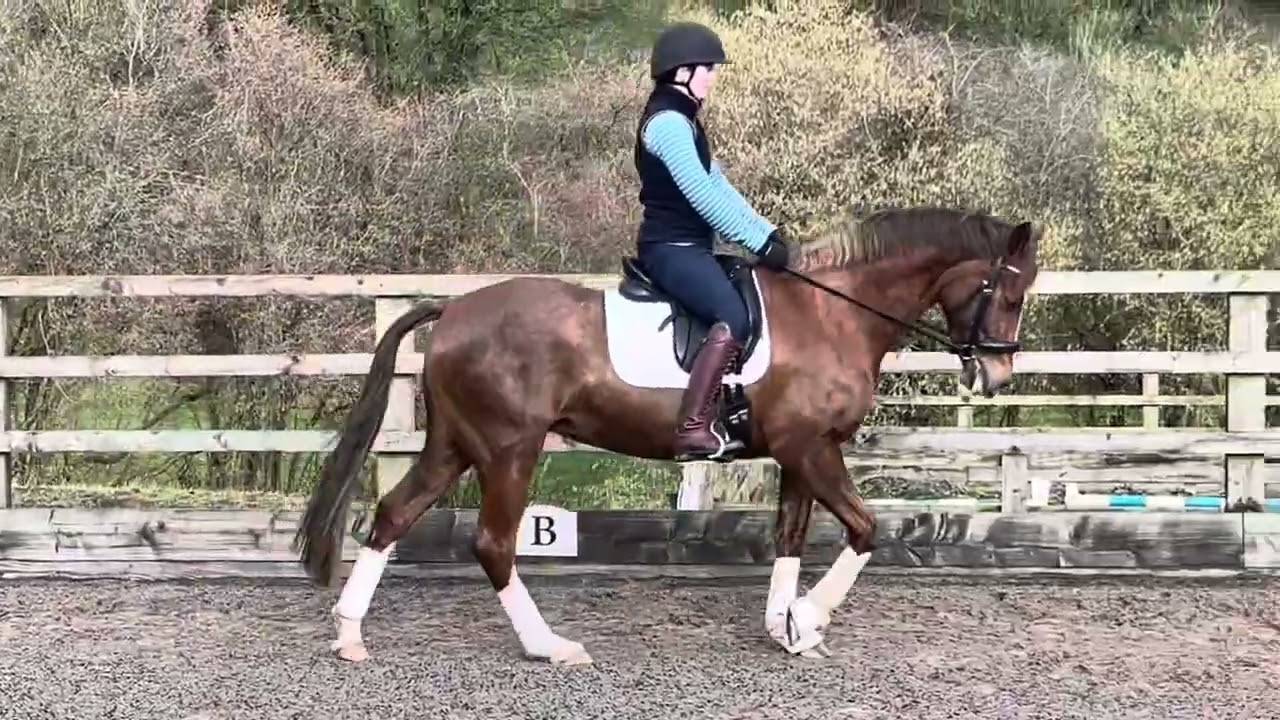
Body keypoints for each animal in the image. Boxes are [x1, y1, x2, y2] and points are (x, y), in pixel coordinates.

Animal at [294, 205, 1041, 665]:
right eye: (1008, 293)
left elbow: (791, 537)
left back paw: (350, 636)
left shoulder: (799, 452)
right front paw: (809, 618)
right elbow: (863, 530)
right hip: (510, 449)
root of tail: (452, 310)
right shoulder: (810, 448)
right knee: (493, 543)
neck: (832, 315)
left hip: (455, 443)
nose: (998, 374)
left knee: (393, 515)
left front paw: (786, 628)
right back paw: (549, 646)